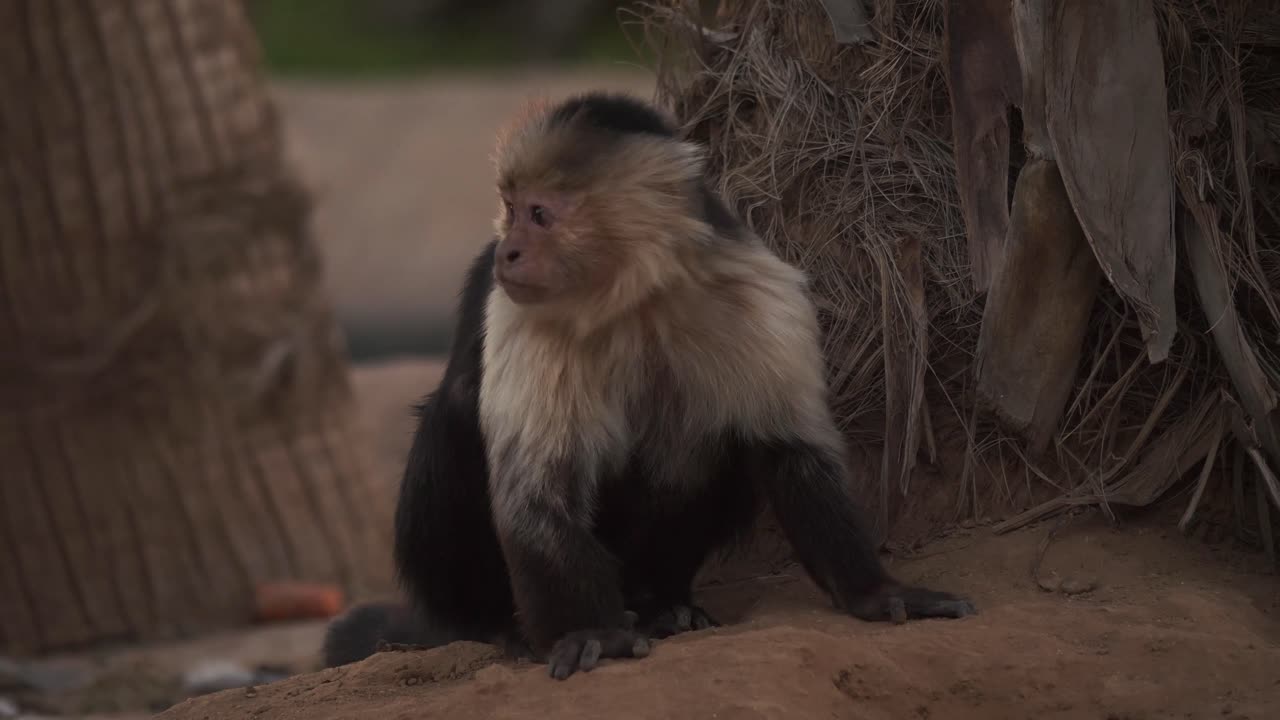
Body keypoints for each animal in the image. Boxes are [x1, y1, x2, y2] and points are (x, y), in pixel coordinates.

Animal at [321, 91, 976, 679]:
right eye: (510, 207)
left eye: (540, 215)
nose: (508, 251)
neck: (636, 298)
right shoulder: (523, 314)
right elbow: (538, 496)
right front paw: (592, 632)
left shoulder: (757, 293)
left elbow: (790, 451)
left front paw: (874, 591)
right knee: (456, 411)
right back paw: (496, 625)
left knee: (713, 442)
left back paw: (660, 602)